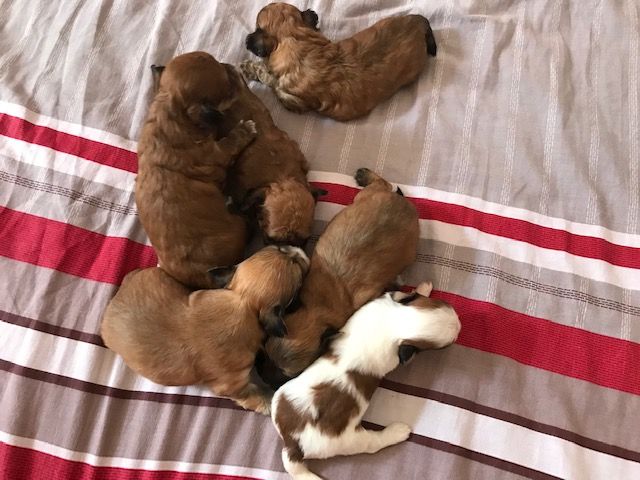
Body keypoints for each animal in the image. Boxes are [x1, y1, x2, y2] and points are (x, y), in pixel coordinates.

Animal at [100, 245, 310, 415]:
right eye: (296, 265)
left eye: (279, 248)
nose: (298, 249)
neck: (244, 302)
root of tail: (119, 293)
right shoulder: (233, 384)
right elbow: (251, 395)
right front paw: (267, 402)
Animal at [136, 51, 257, 289]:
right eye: (227, 85)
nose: (229, 65)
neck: (171, 111)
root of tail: (204, 278)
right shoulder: (216, 153)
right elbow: (231, 141)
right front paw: (246, 128)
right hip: (236, 227)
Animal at [258, 168, 419, 385]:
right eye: (265, 354)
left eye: (290, 375)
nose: (262, 376)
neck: (317, 308)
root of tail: (401, 202)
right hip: (366, 197)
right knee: (382, 184)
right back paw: (365, 176)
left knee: (383, 184)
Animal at [272, 281, 461, 479]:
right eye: (447, 344)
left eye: (442, 303)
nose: (459, 324)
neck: (397, 323)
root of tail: (293, 445)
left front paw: (422, 289)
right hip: (349, 441)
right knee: (373, 443)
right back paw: (397, 432)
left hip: (279, 399)